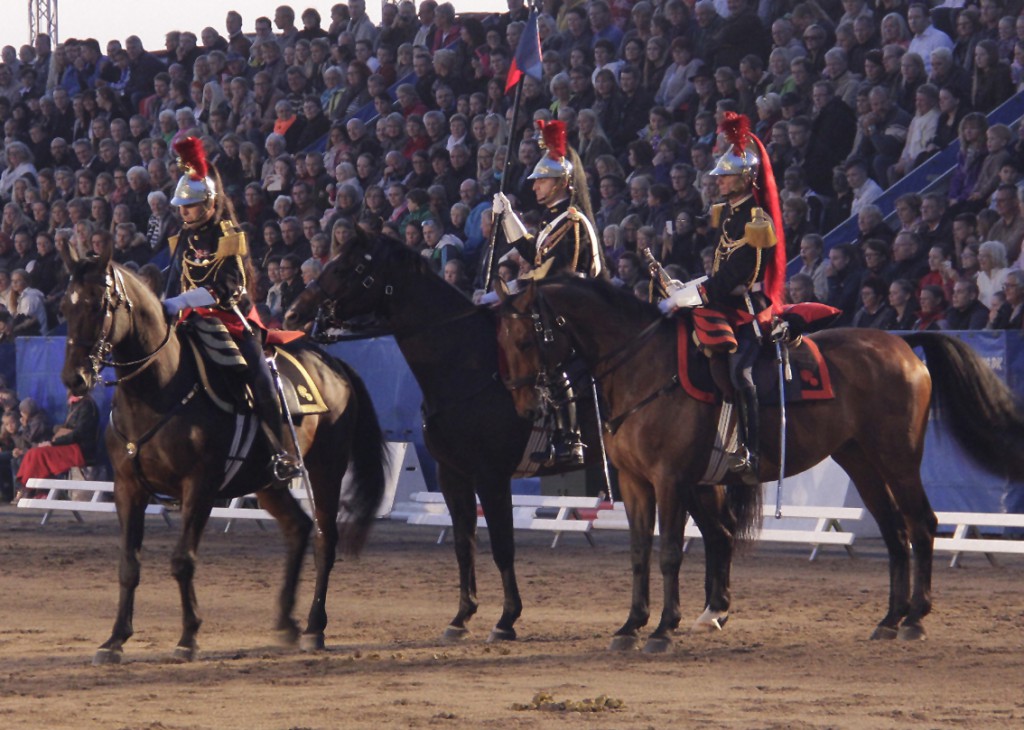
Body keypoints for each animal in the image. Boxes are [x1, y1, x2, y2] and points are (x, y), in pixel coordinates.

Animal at [59, 243, 387, 659]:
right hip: (266, 481)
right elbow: (128, 564)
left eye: (98, 303)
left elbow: (183, 559)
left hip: (326, 469)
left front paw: (188, 636)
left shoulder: (200, 485)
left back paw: (315, 627)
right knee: (298, 527)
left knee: (325, 540)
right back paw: (286, 620)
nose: (75, 378)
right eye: (65, 308)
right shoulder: (127, 487)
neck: (157, 389)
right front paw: (115, 639)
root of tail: (334, 363)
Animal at [495, 276, 1024, 647]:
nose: (523, 405)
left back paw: (915, 617)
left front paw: (663, 629)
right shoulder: (634, 483)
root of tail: (901, 343)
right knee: (895, 533)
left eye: (525, 340)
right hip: (861, 462)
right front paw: (631, 625)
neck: (643, 368)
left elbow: (669, 553)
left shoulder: (670, 480)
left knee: (921, 524)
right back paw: (890, 619)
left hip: (897, 459)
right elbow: (640, 553)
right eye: (502, 344)